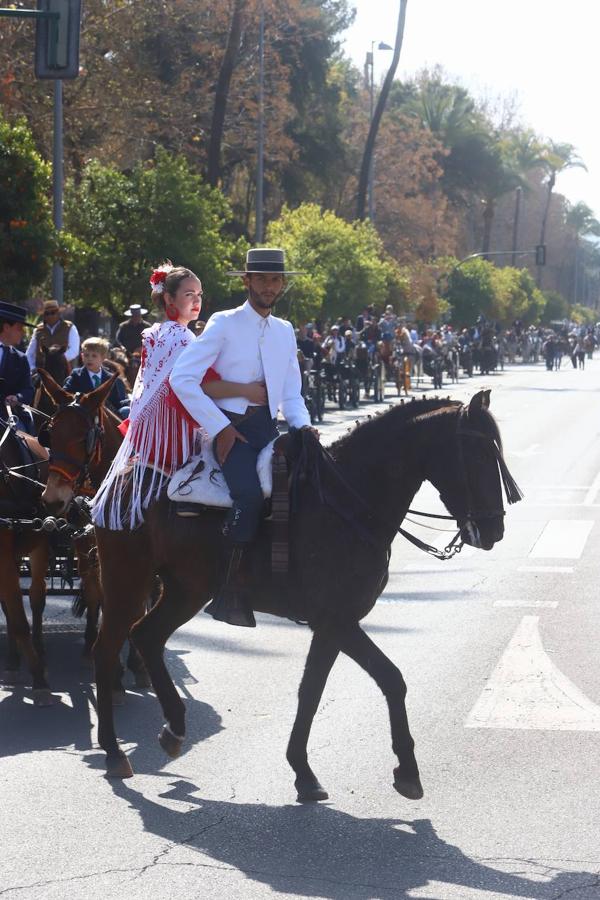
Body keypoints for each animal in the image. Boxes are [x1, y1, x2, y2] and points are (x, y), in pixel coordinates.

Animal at [45, 390, 520, 800]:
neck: (349, 499)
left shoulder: (334, 625)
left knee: (147, 637)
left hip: (185, 589)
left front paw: (307, 772)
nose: (494, 529)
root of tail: (116, 478)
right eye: (480, 454)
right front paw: (400, 769)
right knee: (108, 648)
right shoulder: (335, 620)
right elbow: (378, 681)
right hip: (128, 582)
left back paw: (174, 728)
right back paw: (113, 750)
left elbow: (321, 688)